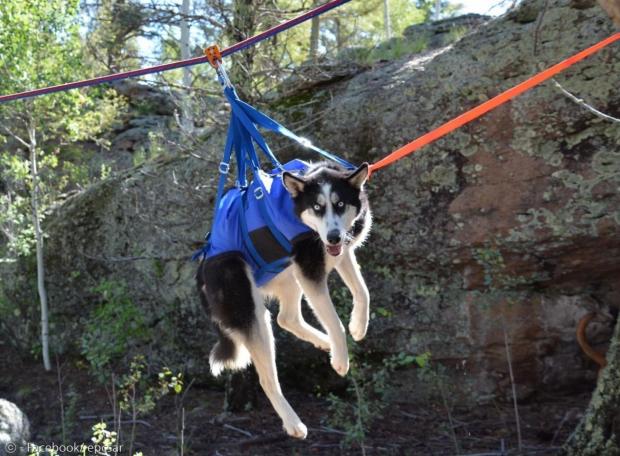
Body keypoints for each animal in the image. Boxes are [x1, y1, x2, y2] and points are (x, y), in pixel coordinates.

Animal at [196, 160, 370, 438]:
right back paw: (293, 423)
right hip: (250, 308)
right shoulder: (311, 270)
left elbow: (363, 291)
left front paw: (358, 326)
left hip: (288, 273)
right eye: (317, 207)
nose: (333, 237)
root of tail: (202, 267)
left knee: (286, 318)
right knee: (268, 378)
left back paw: (325, 343)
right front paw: (341, 360)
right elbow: (335, 323)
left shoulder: (338, 255)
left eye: (340, 204)